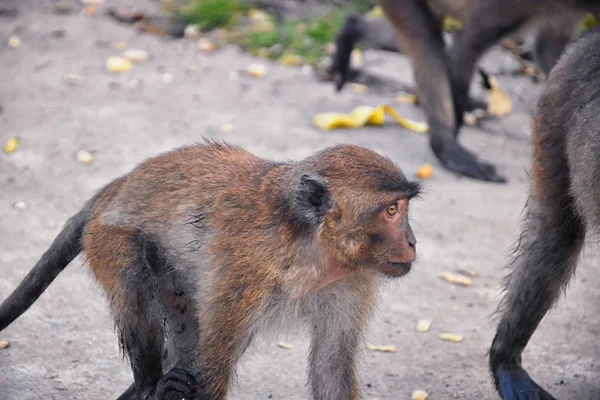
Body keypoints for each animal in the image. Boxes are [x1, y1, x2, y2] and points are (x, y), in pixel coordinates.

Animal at [0, 141, 420, 400]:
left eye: (401, 207)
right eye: (391, 210)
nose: (413, 241)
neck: (309, 245)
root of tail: (117, 185)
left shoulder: (352, 281)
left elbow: (331, 367)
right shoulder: (243, 273)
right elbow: (213, 368)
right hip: (107, 235)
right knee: (134, 283)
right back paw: (150, 386)